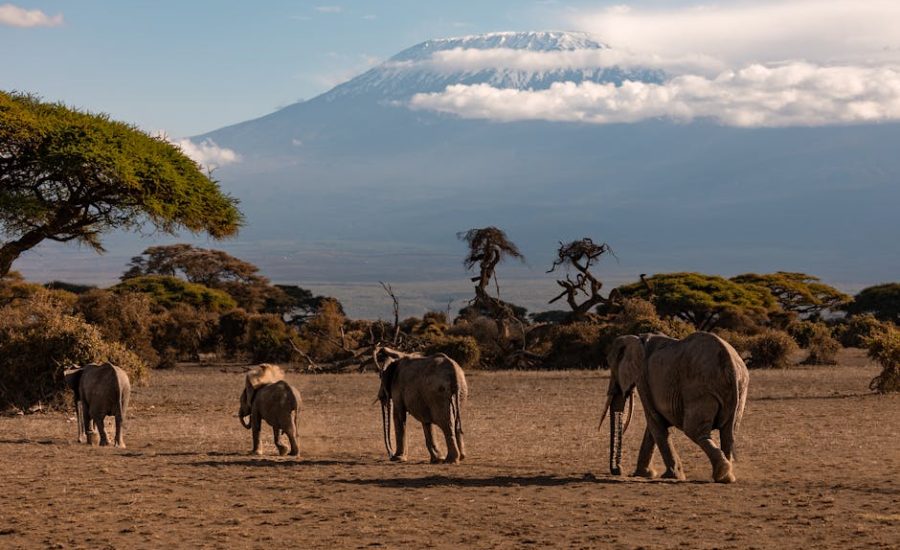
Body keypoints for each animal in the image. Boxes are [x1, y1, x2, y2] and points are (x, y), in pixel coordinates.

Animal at [599, 332, 749, 483]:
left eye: (612, 367)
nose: (618, 470)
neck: (637, 339)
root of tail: (730, 363)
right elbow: (653, 425)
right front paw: (644, 474)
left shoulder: (642, 378)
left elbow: (654, 421)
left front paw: (671, 476)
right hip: (739, 389)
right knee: (728, 433)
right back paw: (727, 477)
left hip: (700, 389)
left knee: (695, 431)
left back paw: (722, 472)